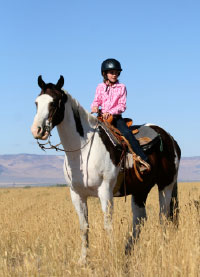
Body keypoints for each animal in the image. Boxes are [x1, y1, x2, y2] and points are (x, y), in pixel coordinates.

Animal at [30, 75, 181, 260]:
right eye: (37, 102)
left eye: (54, 102)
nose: (37, 130)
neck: (82, 150)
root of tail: (169, 138)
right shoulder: (77, 194)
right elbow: (84, 227)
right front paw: (83, 259)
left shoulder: (105, 191)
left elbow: (108, 225)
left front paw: (112, 256)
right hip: (141, 189)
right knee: (139, 220)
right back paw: (128, 250)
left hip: (166, 185)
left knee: (164, 216)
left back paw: (161, 249)